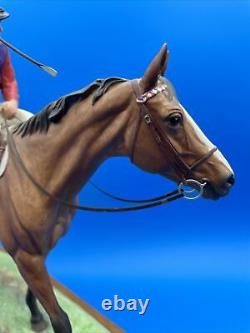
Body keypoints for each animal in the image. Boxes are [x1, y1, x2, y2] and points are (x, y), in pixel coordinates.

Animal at [0, 44, 234, 332]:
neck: (39, 172)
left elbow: (35, 292)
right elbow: (60, 319)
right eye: (174, 119)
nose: (227, 177)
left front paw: (34, 315)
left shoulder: (39, 252)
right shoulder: (27, 256)